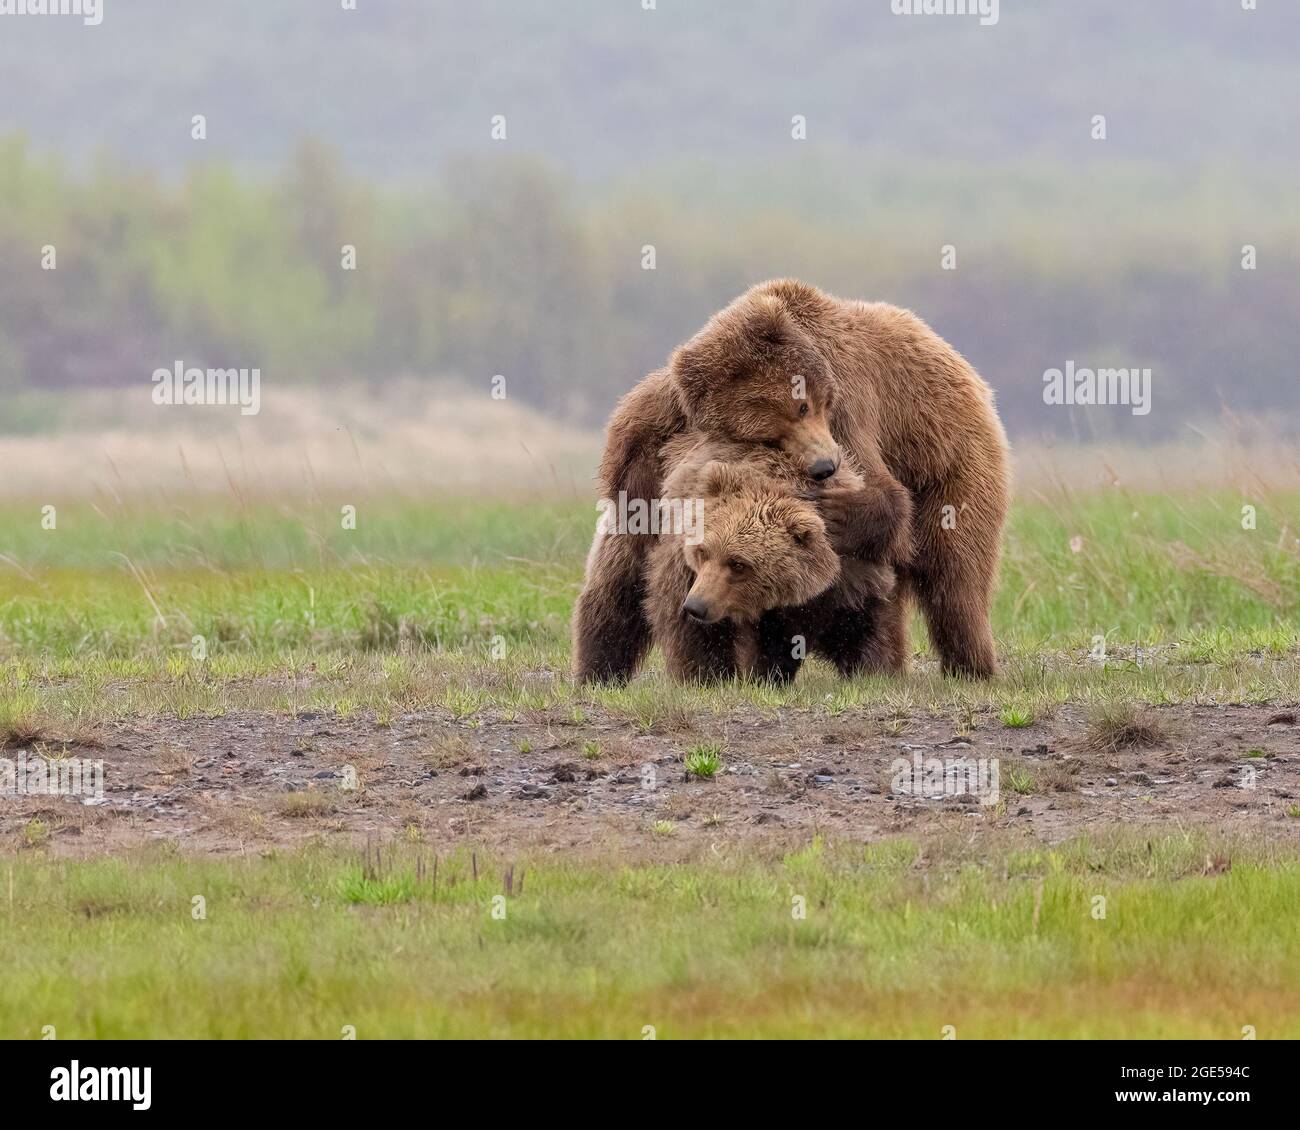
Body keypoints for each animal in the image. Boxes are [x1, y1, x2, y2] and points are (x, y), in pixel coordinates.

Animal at [644, 435, 910, 683]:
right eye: (703, 551)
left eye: (738, 563)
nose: (696, 606)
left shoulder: (853, 575)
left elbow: (867, 629)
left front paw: (873, 669)